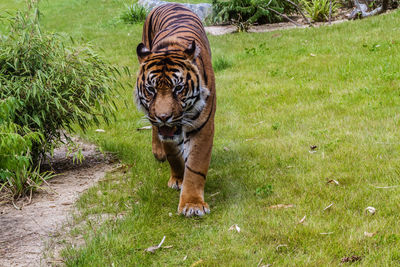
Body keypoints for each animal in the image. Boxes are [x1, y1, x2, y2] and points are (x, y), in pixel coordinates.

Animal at [134, 3, 216, 218]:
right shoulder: (164, 129)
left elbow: (195, 166)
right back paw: (158, 152)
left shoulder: (203, 126)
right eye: (151, 89)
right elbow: (173, 154)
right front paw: (178, 178)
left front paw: (193, 204)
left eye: (178, 89)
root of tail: (170, 3)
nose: (164, 117)